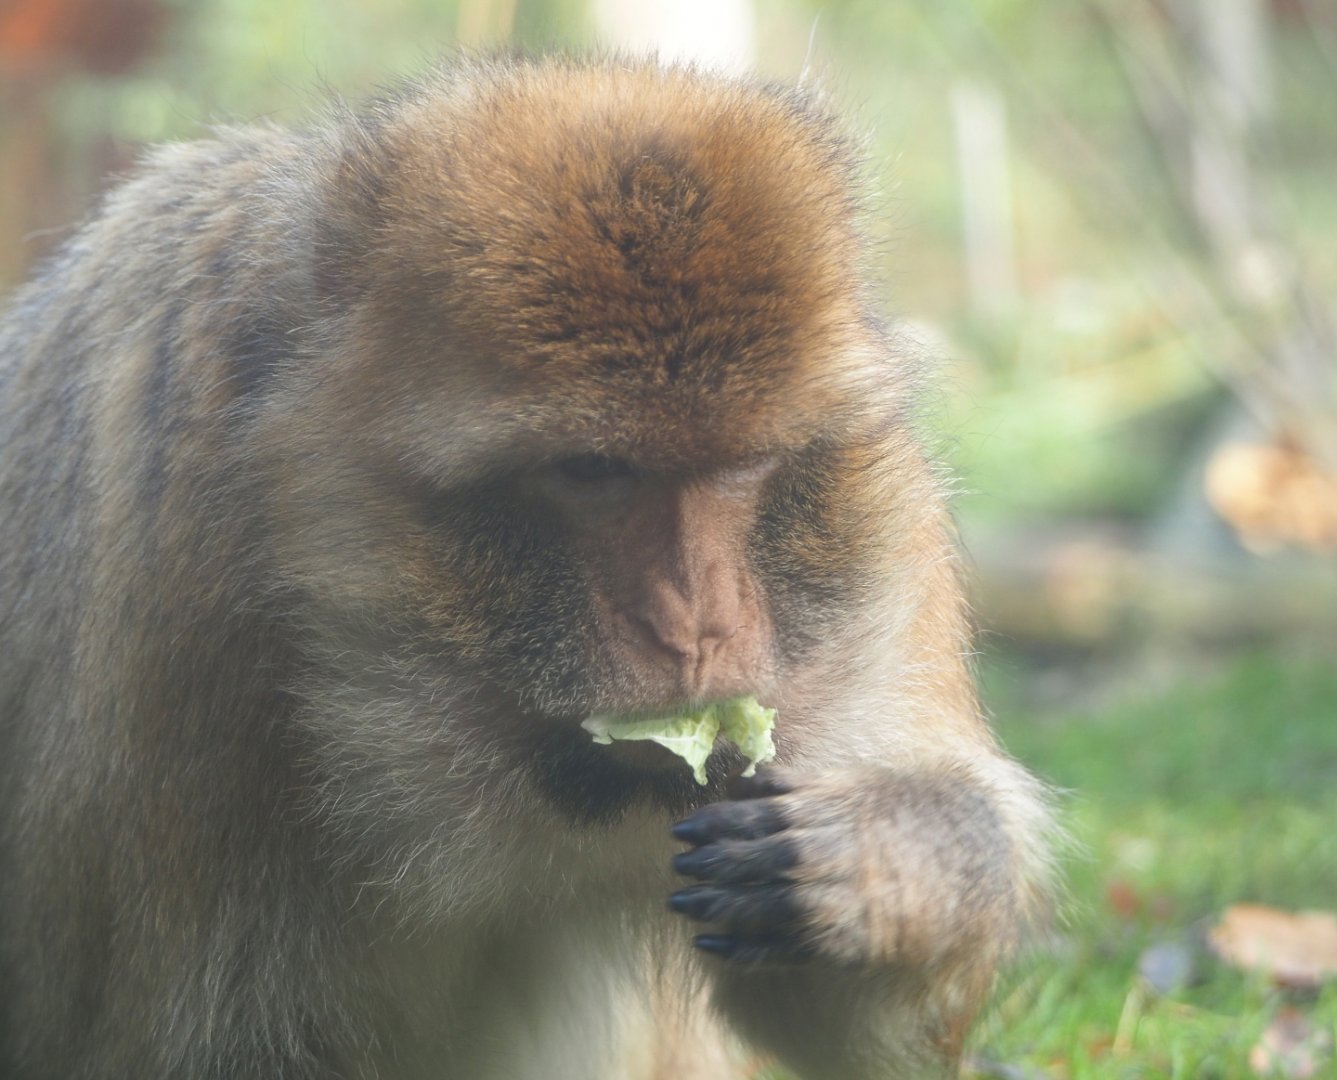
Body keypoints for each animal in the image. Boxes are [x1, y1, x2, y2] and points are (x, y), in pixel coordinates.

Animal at [0, 55, 1053, 1080]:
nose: (694, 626)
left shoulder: (887, 551)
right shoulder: (177, 610)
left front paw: (887, 855)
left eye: (743, 464)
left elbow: (855, 1033)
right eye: (592, 472)